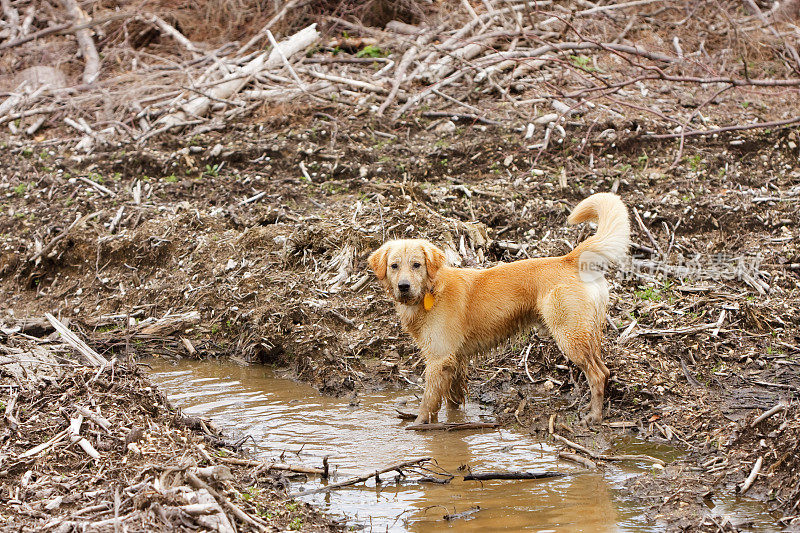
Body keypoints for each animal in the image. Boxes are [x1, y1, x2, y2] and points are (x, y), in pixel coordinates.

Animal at [368, 191, 632, 424]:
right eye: (394, 266)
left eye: (416, 265)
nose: (403, 286)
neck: (431, 291)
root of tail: (569, 259)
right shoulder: (455, 360)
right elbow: (452, 400)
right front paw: (454, 421)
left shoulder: (438, 359)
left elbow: (428, 401)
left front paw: (420, 426)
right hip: (587, 334)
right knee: (604, 370)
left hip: (569, 335)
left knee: (597, 375)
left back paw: (594, 417)